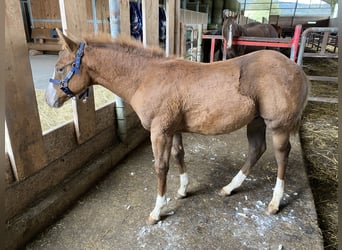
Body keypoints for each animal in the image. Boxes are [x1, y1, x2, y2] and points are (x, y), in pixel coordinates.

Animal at [45, 29, 310, 225]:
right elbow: (179, 155)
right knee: (256, 149)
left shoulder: (159, 131)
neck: (146, 77)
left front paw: (157, 211)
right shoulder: (173, 130)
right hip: (255, 121)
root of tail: (297, 69)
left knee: (281, 155)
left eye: (60, 68)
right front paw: (183, 190)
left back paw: (275, 202)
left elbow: (161, 167)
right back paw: (229, 188)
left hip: (277, 125)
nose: (49, 100)